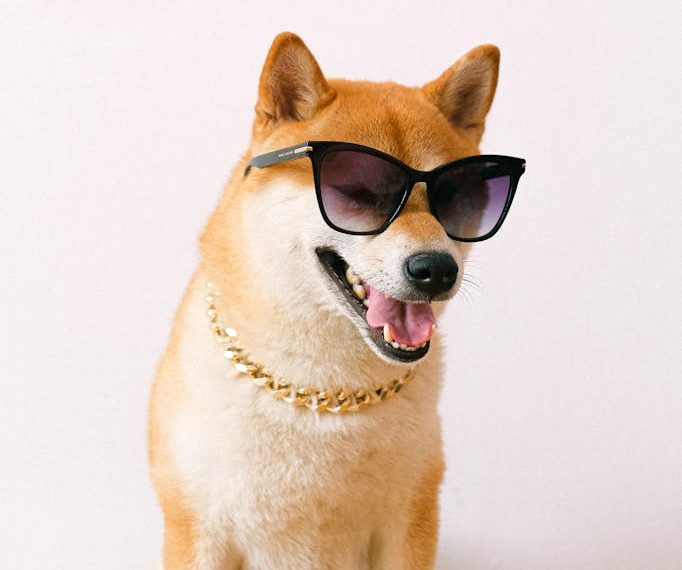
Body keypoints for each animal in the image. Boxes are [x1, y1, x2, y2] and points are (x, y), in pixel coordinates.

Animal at [147, 32, 520, 568]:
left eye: (454, 197)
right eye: (357, 191)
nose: (436, 269)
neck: (322, 393)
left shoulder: (410, 523)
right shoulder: (196, 530)